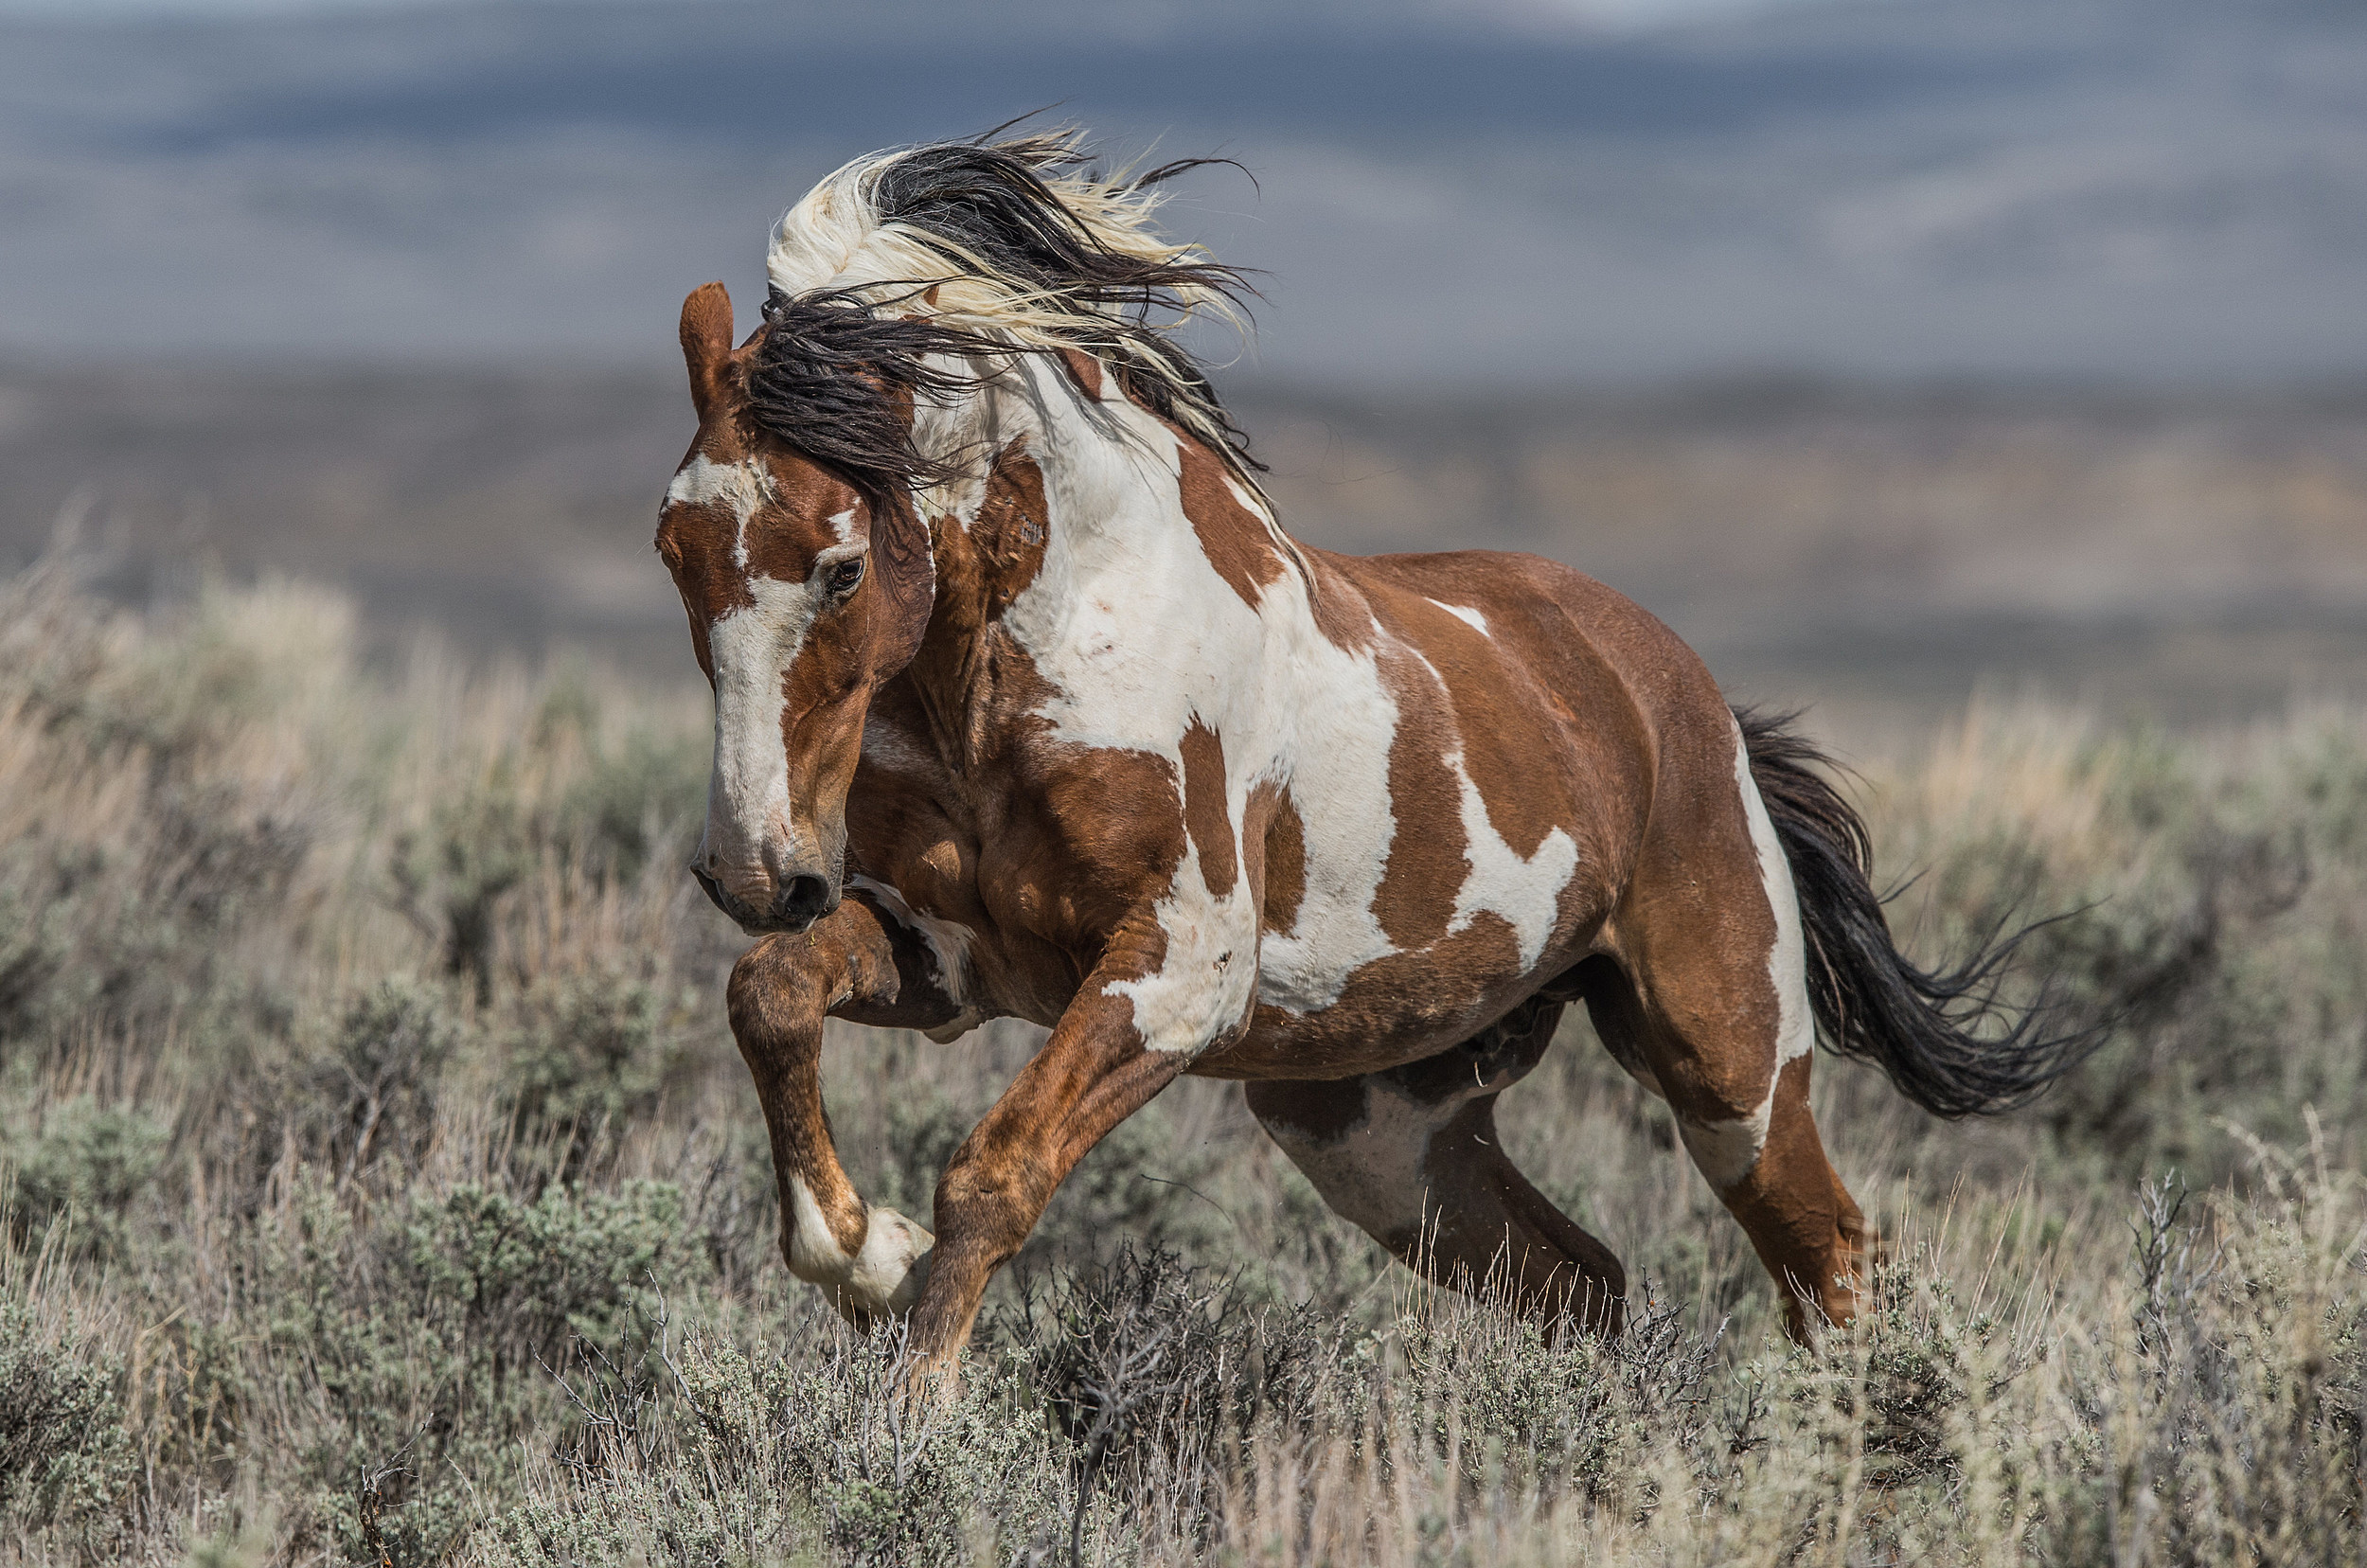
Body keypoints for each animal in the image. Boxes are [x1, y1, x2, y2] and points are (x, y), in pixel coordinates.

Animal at [658, 132, 2083, 1363]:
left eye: (842, 566)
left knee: (1830, 1258)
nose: (756, 872)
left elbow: (993, 1175)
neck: (1031, 659)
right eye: (672, 549)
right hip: (1378, 1128)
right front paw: (859, 1255)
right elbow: (772, 996)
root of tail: (1686, 699)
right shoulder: (956, 957)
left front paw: (911, 1412)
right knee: (1581, 1283)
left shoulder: (1174, 974)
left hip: (1731, 1069)